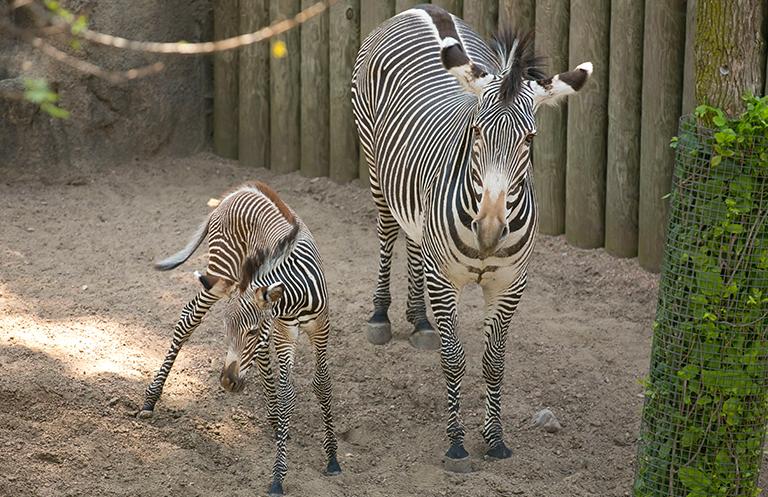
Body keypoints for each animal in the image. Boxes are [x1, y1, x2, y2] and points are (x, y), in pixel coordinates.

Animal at [139, 181, 342, 492]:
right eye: (225, 329)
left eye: (253, 330)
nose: (226, 382)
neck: (294, 297)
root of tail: (236, 193)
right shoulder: (284, 331)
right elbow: (288, 393)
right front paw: (278, 477)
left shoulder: (319, 327)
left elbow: (322, 385)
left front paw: (332, 458)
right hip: (220, 273)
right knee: (188, 318)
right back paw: (151, 399)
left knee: (258, 353)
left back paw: (274, 420)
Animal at [352, 3, 592, 468]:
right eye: (476, 130)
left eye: (530, 138)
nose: (489, 231)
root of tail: (425, 9)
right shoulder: (445, 281)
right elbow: (454, 359)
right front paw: (457, 444)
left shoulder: (510, 285)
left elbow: (494, 363)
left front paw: (495, 439)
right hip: (374, 162)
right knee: (389, 231)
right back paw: (381, 316)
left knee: (414, 240)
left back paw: (419, 320)